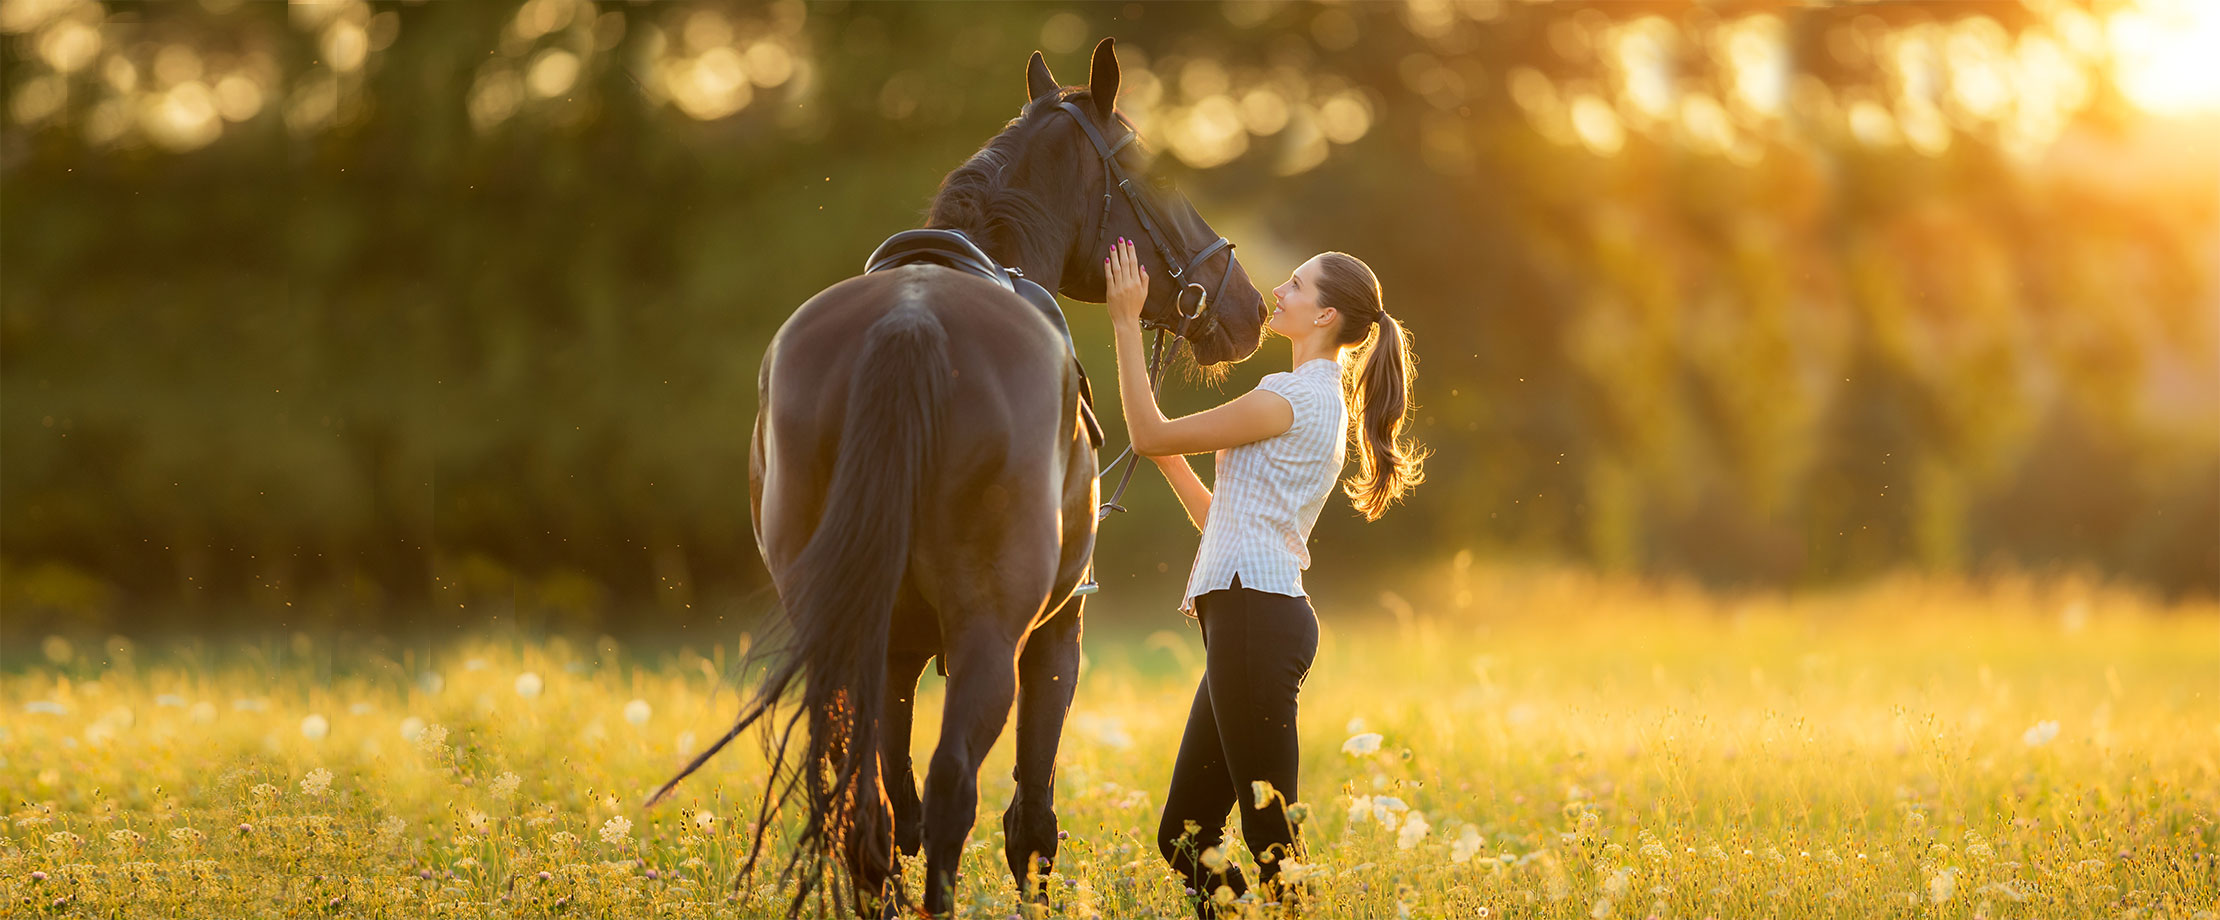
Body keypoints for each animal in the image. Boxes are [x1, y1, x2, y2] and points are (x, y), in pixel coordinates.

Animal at [648, 39, 1260, 915]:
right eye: (1152, 170)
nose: (1247, 308)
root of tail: (910, 322)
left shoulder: (895, 654)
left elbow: (888, 801)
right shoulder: (1057, 633)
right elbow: (1029, 822)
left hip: (844, 635)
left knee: (865, 811)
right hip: (989, 641)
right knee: (949, 796)